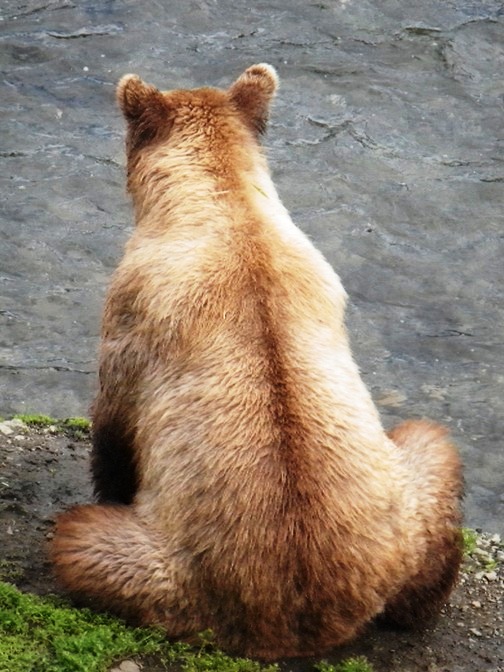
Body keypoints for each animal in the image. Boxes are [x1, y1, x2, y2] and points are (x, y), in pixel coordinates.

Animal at [50, 64, 460, 660]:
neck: (223, 203)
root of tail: (308, 617)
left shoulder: (134, 311)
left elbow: (114, 422)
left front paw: (111, 477)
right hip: (403, 519)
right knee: (436, 452)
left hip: (175, 573)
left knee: (80, 539)